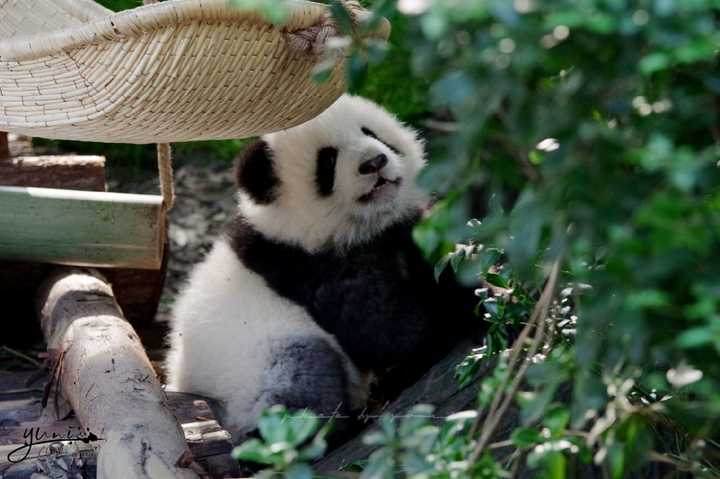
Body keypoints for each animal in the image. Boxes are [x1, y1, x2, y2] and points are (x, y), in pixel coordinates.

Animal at [166, 94, 476, 442]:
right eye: (327, 161)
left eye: (371, 133)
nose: (375, 163)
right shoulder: (310, 268)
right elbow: (386, 330)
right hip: (253, 369)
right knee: (301, 380)